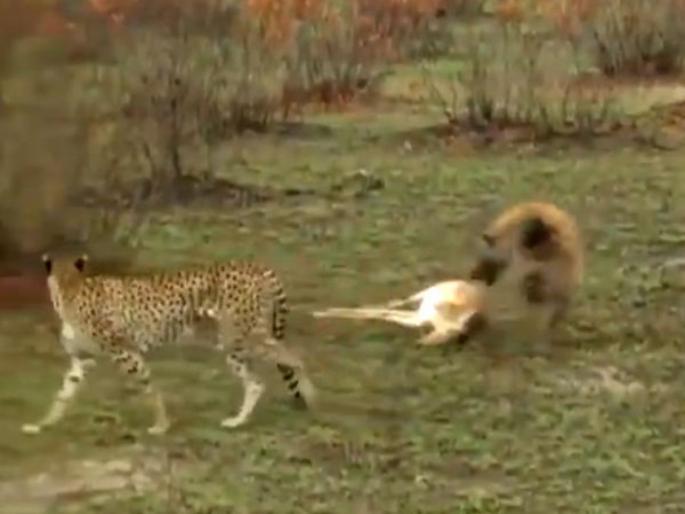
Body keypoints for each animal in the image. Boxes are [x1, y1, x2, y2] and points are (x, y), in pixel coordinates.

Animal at [22, 253, 316, 436]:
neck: (69, 286)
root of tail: (256, 266)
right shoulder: (81, 361)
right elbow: (62, 396)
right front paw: (41, 425)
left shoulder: (126, 354)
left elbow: (151, 390)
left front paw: (161, 426)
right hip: (234, 344)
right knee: (257, 382)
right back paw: (237, 421)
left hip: (243, 336)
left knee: (294, 355)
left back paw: (310, 396)